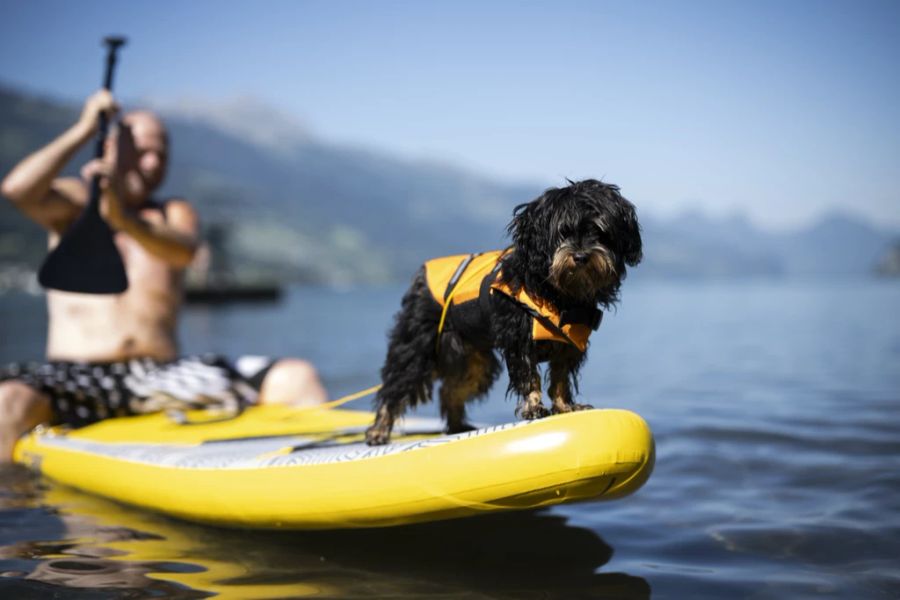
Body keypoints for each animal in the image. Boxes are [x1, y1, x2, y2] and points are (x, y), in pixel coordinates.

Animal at [364, 178, 640, 446]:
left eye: (598, 232)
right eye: (563, 232)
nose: (581, 256)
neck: (558, 293)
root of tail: (422, 278)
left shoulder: (569, 343)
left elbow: (561, 377)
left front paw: (565, 406)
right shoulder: (519, 337)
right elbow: (528, 376)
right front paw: (534, 407)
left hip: (474, 360)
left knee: (450, 390)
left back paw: (457, 426)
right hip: (418, 345)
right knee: (396, 385)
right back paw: (378, 431)